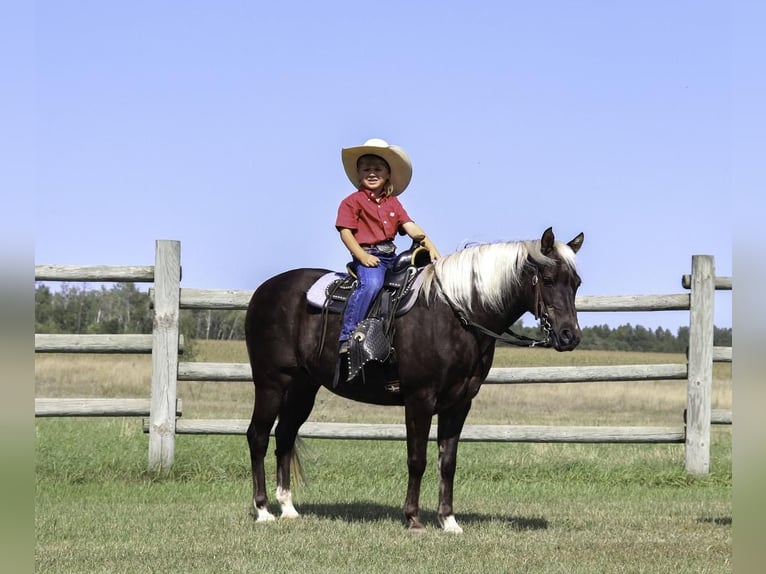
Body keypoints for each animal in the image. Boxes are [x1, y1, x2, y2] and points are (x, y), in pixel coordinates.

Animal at [249, 227, 584, 532]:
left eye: (577, 283)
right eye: (548, 279)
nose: (570, 336)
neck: (456, 315)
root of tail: (264, 291)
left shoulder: (459, 403)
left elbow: (447, 462)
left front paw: (449, 521)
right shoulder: (419, 398)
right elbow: (417, 459)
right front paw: (413, 518)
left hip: (303, 387)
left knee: (285, 436)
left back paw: (288, 508)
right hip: (271, 383)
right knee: (258, 436)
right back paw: (263, 510)